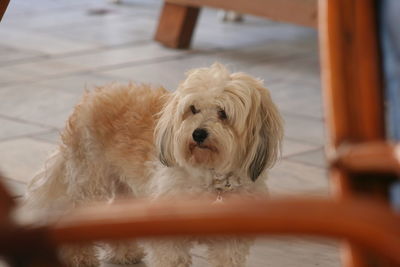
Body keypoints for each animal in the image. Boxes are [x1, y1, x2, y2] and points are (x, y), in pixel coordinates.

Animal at [23, 63, 282, 267]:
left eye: (223, 113)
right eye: (193, 109)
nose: (198, 134)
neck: (212, 178)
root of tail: (92, 95)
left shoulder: (230, 241)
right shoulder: (170, 237)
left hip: (126, 187)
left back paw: (125, 252)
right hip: (88, 179)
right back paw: (79, 257)